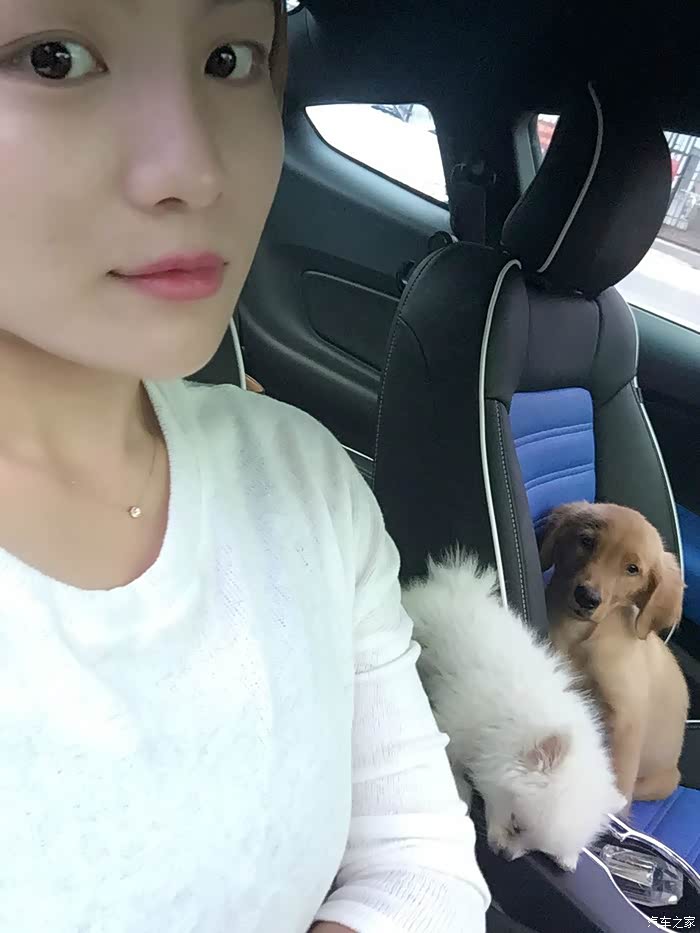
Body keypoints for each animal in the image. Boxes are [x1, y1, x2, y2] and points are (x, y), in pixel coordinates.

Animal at [402, 550, 625, 872]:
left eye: (536, 850)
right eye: (516, 824)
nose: (506, 855)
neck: (506, 728)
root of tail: (461, 586)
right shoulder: (454, 723)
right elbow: (449, 756)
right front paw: (460, 790)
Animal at [541, 501, 689, 806]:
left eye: (632, 569)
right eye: (586, 541)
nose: (587, 597)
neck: (578, 633)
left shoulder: (626, 721)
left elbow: (620, 778)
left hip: (661, 782)